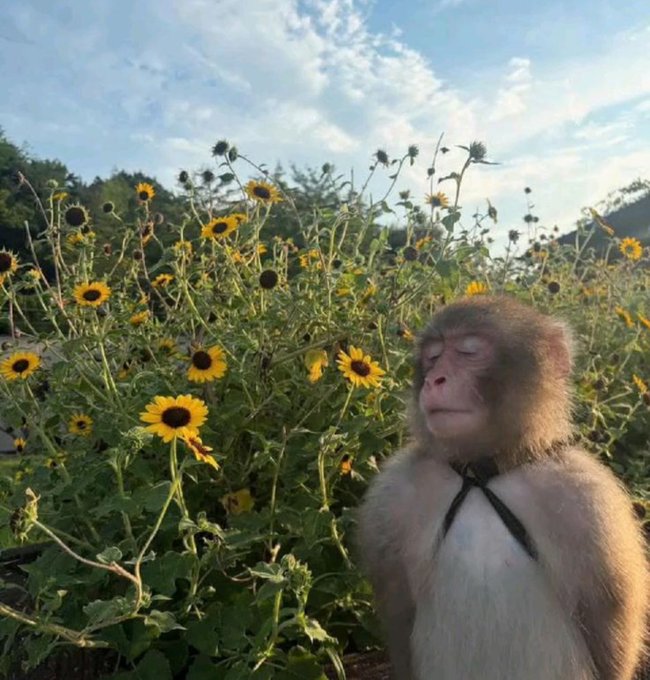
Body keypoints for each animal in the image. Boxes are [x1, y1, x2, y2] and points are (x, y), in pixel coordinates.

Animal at [357, 295, 648, 680]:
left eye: (469, 351)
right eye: (433, 356)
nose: (434, 379)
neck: (483, 470)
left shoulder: (587, 498)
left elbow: (610, 616)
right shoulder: (393, 492)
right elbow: (398, 604)